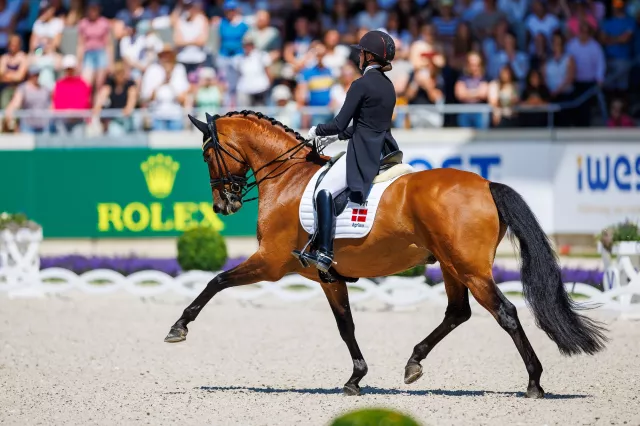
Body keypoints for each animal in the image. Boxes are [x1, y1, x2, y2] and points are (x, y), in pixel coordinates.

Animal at [164, 111, 608, 398]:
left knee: (506, 313)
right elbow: (346, 325)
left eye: (206, 154)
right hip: (452, 266)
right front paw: (355, 378)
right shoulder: (327, 276)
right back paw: (414, 362)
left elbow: (216, 280)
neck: (288, 179)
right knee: (458, 312)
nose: (223, 206)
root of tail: (485, 184)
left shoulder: (271, 263)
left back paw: (534, 382)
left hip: (470, 268)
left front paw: (179, 327)